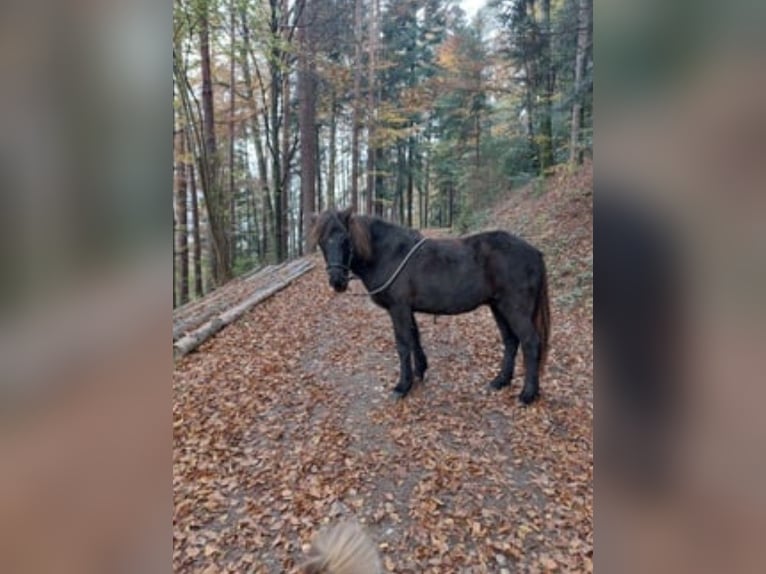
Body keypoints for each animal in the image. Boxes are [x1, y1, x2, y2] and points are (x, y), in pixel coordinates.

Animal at [311, 207, 550, 404]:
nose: (337, 281)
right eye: (322, 242)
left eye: (345, 239)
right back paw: (501, 381)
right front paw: (419, 372)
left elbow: (403, 344)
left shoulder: (398, 309)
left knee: (530, 342)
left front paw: (402, 386)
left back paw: (528, 395)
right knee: (511, 341)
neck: (389, 254)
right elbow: (414, 338)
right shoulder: (407, 309)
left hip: (514, 309)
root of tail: (535, 253)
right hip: (498, 307)